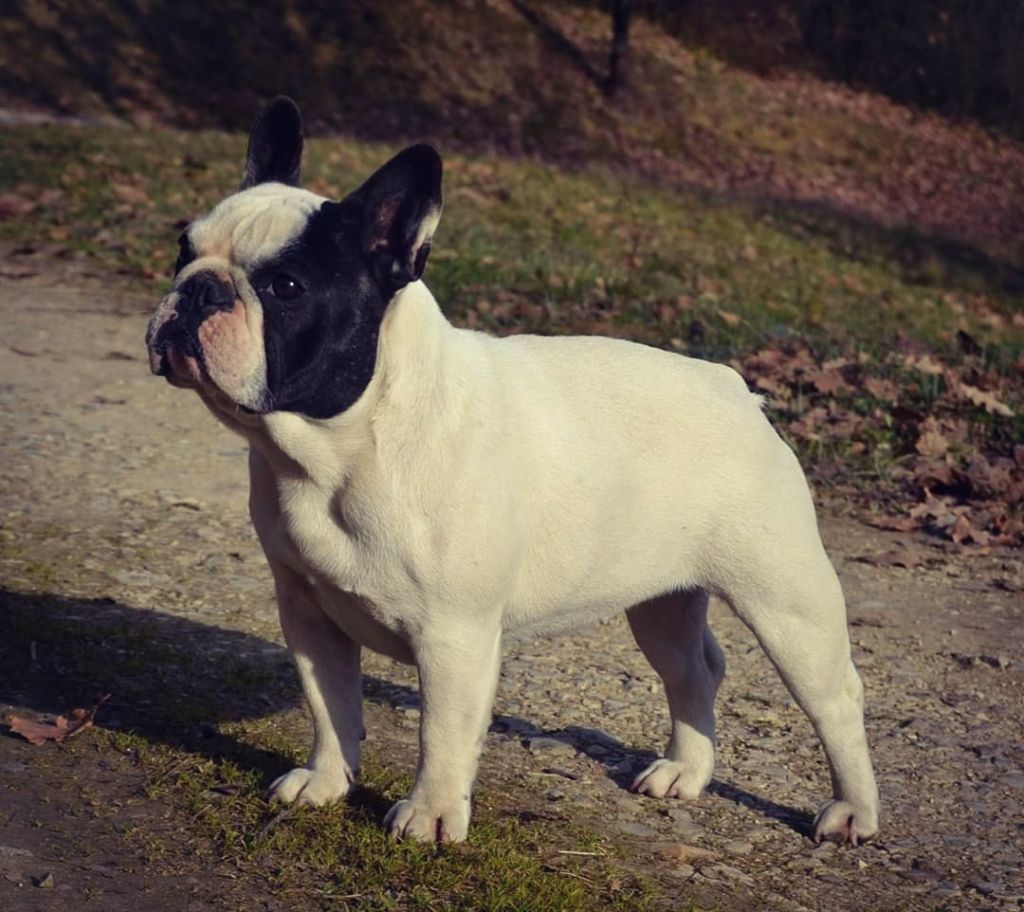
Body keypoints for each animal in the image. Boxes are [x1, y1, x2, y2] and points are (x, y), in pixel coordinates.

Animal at [145, 97, 879, 845]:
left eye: (286, 286)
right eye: (182, 249)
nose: (198, 290)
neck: (343, 448)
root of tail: (735, 388)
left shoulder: (454, 635)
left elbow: (441, 734)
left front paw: (430, 817)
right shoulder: (309, 615)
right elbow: (330, 708)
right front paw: (326, 783)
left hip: (786, 604)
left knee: (836, 698)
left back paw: (852, 811)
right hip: (661, 600)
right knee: (694, 671)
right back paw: (685, 773)